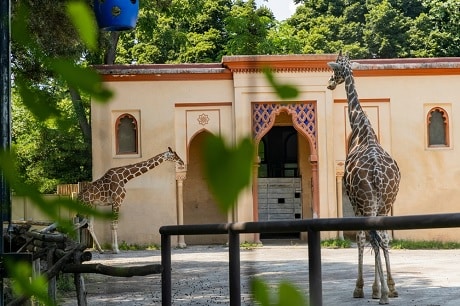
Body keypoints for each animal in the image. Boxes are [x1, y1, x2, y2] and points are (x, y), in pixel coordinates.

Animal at [328, 52, 398, 304]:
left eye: (335, 70)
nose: (329, 83)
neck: (362, 131)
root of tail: (376, 172)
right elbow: (377, 239)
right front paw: (381, 287)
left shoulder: (354, 201)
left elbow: (360, 238)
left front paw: (362, 288)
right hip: (385, 202)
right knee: (383, 239)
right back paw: (390, 289)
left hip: (368, 203)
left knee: (374, 239)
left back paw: (382, 293)